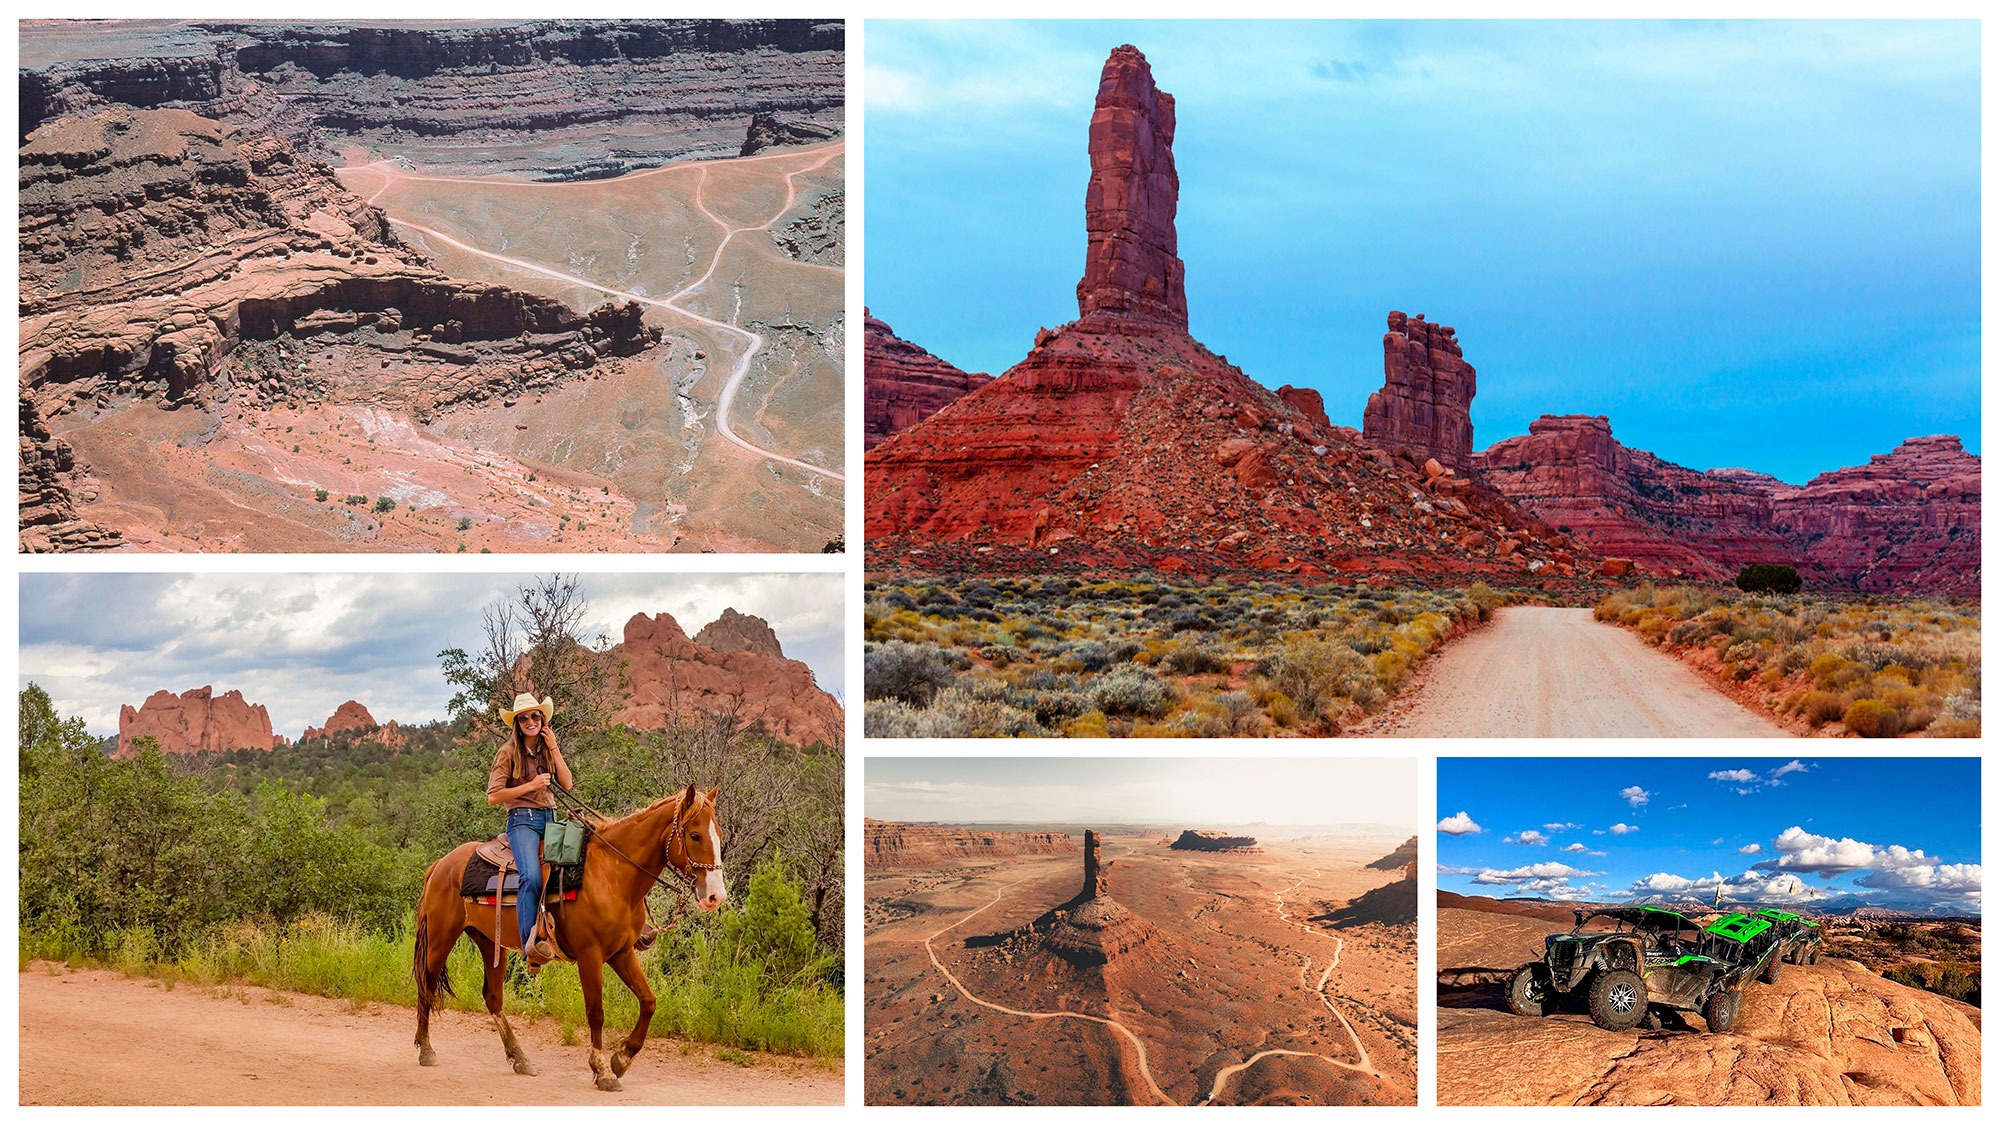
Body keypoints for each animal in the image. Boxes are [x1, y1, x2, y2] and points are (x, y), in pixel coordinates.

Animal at [408, 780, 728, 1088]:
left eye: (720, 834)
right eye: (695, 836)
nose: (715, 896)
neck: (612, 876)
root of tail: (441, 864)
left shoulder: (621, 952)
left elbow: (649, 1001)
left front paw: (622, 1059)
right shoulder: (590, 955)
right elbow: (596, 1012)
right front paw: (602, 1071)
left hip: (490, 943)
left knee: (493, 997)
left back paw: (520, 1058)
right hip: (441, 937)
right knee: (427, 984)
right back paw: (426, 1050)